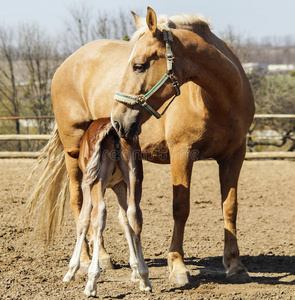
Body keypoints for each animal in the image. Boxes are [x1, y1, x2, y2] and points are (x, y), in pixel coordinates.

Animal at [61, 117, 150, 296]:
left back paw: (91, 281)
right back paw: (144, 278)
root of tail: (111, 129)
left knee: (100, 213)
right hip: (134, 177)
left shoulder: (86, 185)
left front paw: (71, 271)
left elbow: (83, 221)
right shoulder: (119, 185)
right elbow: (124, 221)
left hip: (96, 181)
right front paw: (135, 270)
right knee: (134, 214)